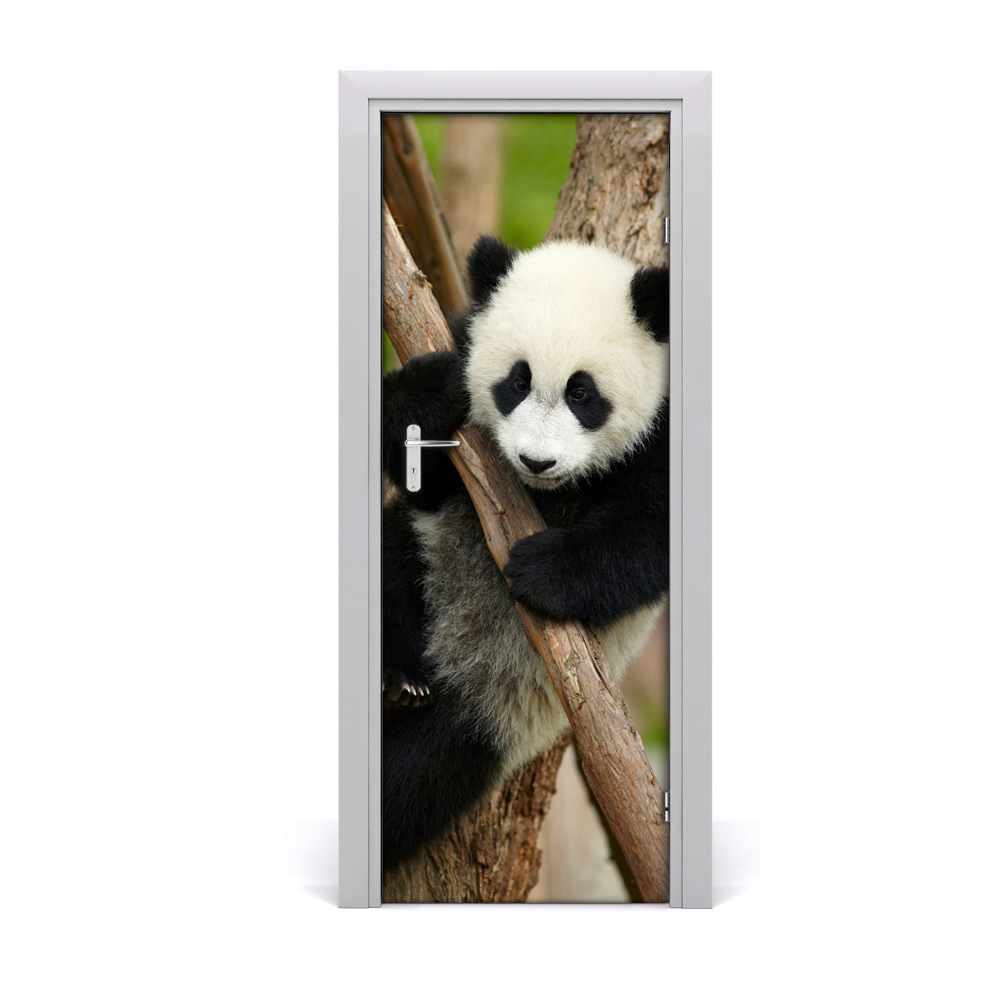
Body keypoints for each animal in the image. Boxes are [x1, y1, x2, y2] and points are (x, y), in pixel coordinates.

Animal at [381, 235, 669, 870]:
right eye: (517, 381)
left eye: (582, 393)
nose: (537, 461)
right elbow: (421, 474)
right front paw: (428, 396)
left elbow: (651, 532)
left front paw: (543, 570)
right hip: (424, 553)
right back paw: (398, 674)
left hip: (499, 721)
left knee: (417, 778)